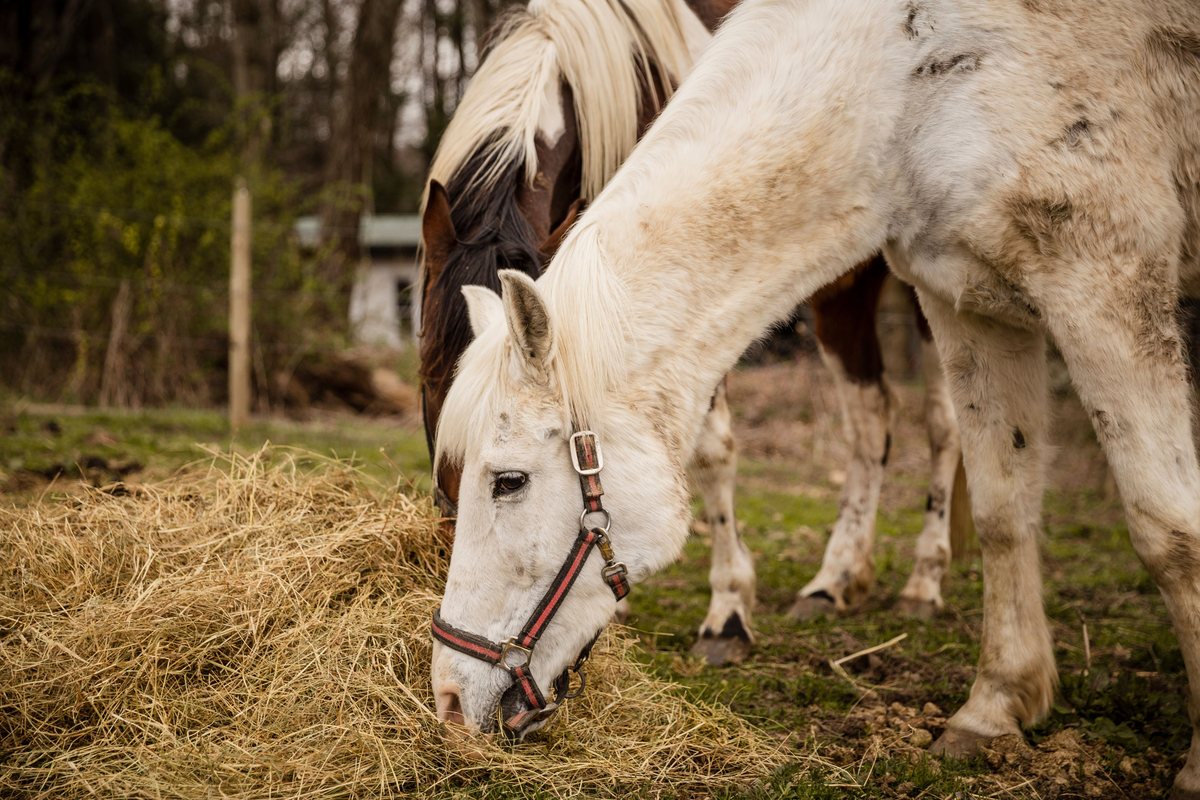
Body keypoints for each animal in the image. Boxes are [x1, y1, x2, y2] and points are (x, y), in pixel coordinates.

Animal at [417, 0, 966, 670]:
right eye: (429, 378)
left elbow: (711, 450)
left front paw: (727, 612)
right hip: (842, 298)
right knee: (871, 418)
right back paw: (834, 580)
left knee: (943, 424)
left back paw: (923, 581)